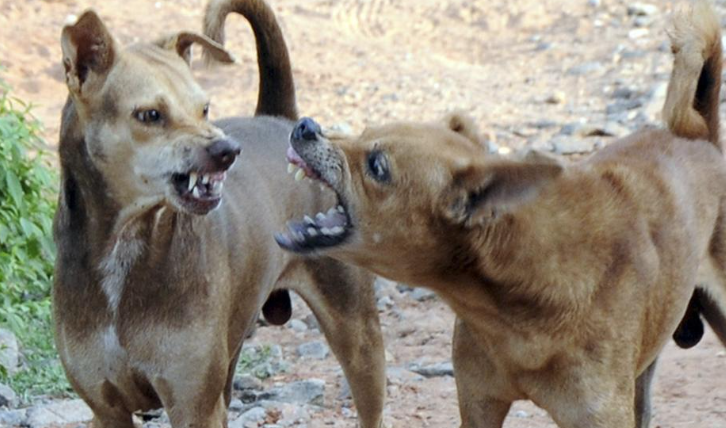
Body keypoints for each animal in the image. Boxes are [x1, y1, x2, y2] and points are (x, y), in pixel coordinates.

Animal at [52, 0, 386, 428]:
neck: (126, 245)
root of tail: (282, 120)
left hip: (357, 335)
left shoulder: (194, 404)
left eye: (205, 108)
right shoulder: (106, 408)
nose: (228, 150)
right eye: (149, 115)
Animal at [278, 1, 726, 426]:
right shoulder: (479, 405)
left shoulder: (598, 416)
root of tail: (702, 136)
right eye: (364, 132)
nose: (305, 125)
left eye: (377, 166)